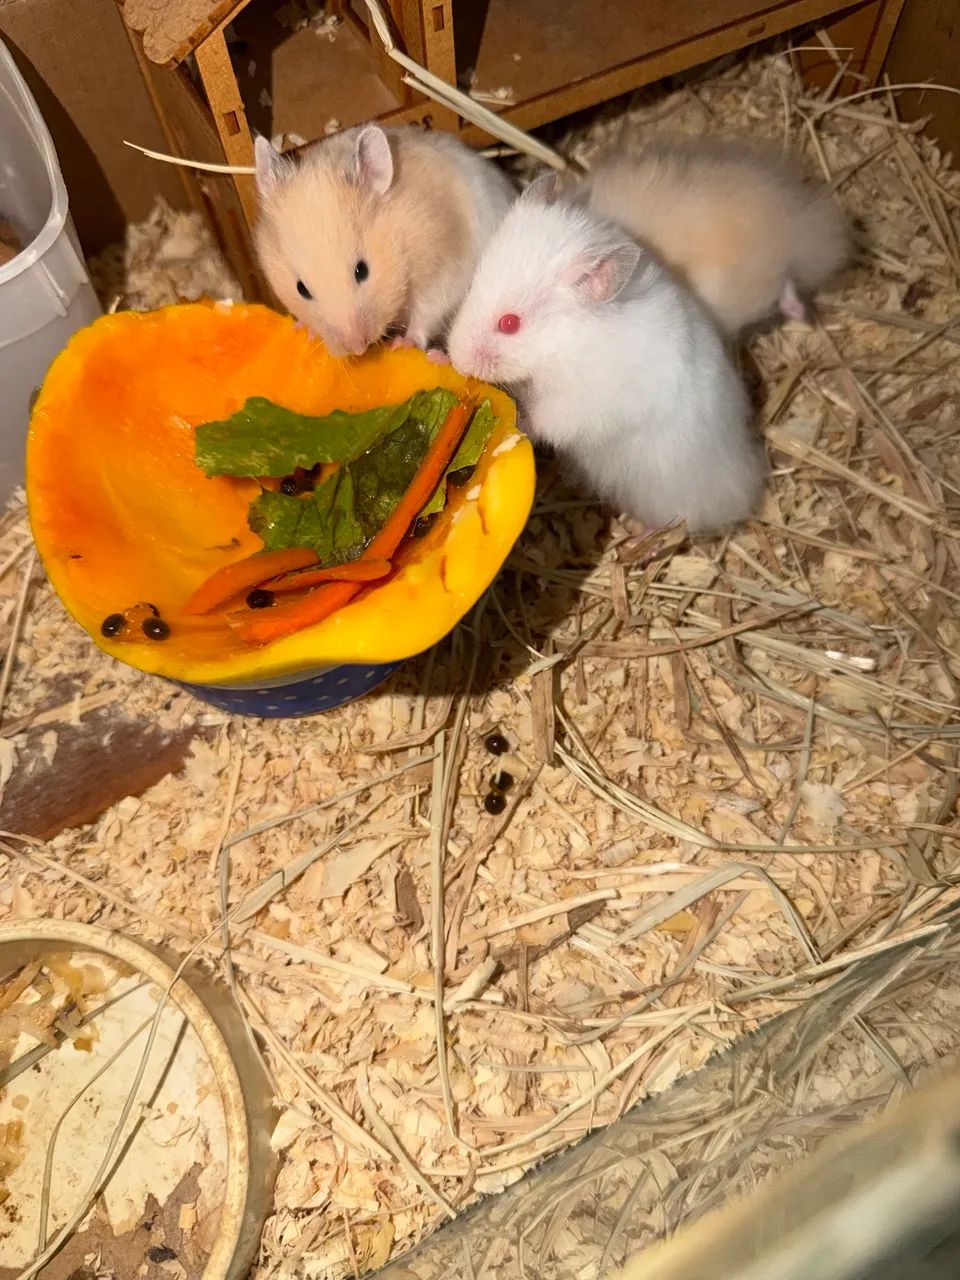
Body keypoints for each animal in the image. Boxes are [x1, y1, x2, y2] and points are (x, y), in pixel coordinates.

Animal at [254, 125, 516, 358]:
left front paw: (403, 344)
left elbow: (426, 311)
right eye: (301, 289)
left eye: (362, 270)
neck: (400, 244)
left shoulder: (449, 267)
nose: (358, 349)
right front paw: (304, 329)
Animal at [446, 176, 766, 535]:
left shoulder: (581, 405)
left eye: (510, 324)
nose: (455, 357)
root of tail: (744, 491)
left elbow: (545, 421)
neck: (563, 345)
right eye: (471, 287)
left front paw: (518, 422)